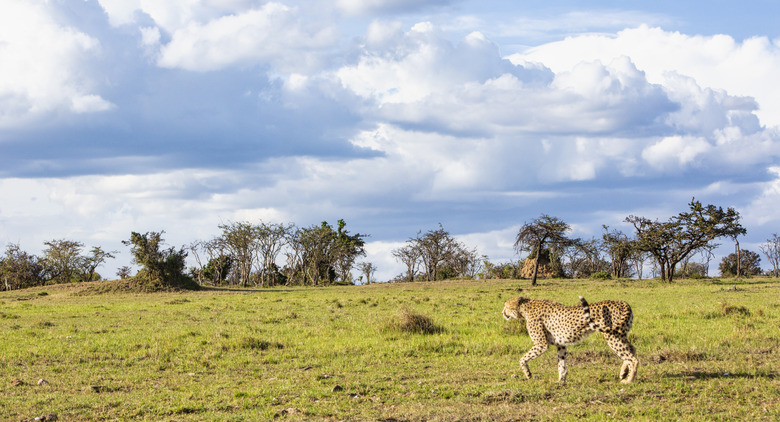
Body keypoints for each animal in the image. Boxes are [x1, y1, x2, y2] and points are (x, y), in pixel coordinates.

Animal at [502, 296, 636, 382]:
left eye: (506, 306)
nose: (503, 313)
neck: (525, 308)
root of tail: (622, 302)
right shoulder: (560, 344)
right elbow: (561, 364)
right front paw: (561, 381)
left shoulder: (541, 344)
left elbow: (523, 358)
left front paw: (528, 374)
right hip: (620, 334)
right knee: (632, 349)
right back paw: (624, 372)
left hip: (611, 335)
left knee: (633, 358)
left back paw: (629, 380)